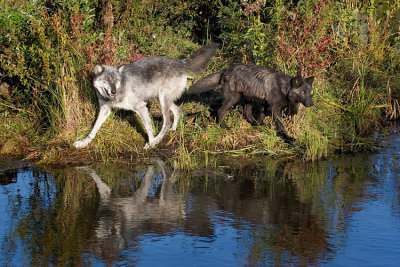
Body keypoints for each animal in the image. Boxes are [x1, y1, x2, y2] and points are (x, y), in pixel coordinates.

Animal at [188, 64, 316, 143]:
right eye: (303, 92)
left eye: (309, 92)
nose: (311, 104)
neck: (283, 87)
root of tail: (226, 70)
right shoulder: (275, 109)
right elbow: (281, 125)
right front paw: (288, 138)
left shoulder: (266, 105)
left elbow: (261, 116)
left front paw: (257, 125)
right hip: (234, 98)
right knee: (220, 110)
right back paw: (224, 126)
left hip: (248, 99)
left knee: (246, 113)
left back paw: (250, 122)